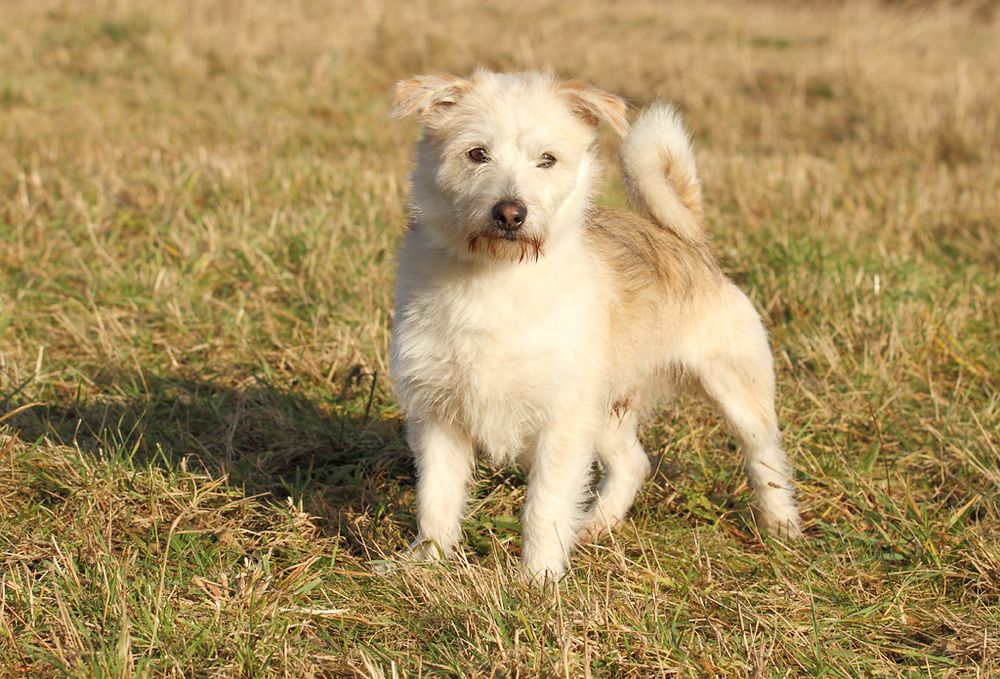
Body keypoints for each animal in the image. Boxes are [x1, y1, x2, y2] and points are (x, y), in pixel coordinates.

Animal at [386, 71, 800, 580]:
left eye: (547, 159)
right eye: (476, 153)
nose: (510, 213)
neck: (496, 277)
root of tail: (688, 240)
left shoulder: (562, 422)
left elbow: (543, 506)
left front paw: (537, 580)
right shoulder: (438, 414)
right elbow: (436, 499)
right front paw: (424, 563)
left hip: (736, 391)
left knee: (766, 458)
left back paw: (781, 524)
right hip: (605, 411)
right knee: (633, 463)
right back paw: (595, 524)